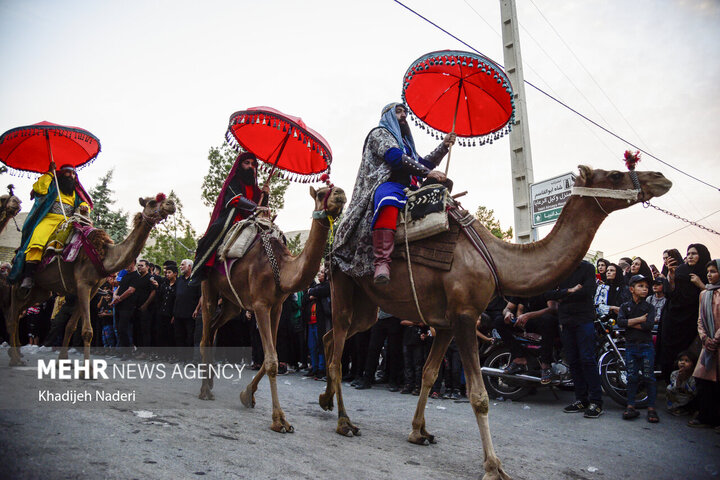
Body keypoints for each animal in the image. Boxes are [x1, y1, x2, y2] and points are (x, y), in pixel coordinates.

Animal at [4, 193, 176, 366]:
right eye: (153, 202)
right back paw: (15, 359)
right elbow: (86, 330)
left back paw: (17, 355)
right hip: (19, 284)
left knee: (18, 313)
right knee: (13, 317)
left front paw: (63, 360)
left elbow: (71, 326)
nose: (171, 204)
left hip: (41, 291)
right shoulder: (83, 285)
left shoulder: (92, 290)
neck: (103, 255)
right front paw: (86, 368)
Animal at [195, 183, 344, 432]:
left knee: (215, 328)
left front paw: (247, 395)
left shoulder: (277, 307)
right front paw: (279, 420)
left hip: (232, 303)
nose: (340, 194)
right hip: (209, 288)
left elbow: (270, 356)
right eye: (323, 193)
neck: (282, 270)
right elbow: (272, 360)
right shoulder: (260, 305)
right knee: (205, 336)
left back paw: (211, 382)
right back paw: (204, 390)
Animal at [320, 166, 668, 480]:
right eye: (615, 174)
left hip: (367, 306)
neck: (497, 259)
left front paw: (419, 432)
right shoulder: (464, 316)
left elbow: (429, 375)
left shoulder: (446, 323)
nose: (660, 178)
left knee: (330, 337)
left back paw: (326, 400)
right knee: (337, 352)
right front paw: (493, 467)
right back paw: (344, 422)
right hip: (343, 284)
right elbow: (479, 396)